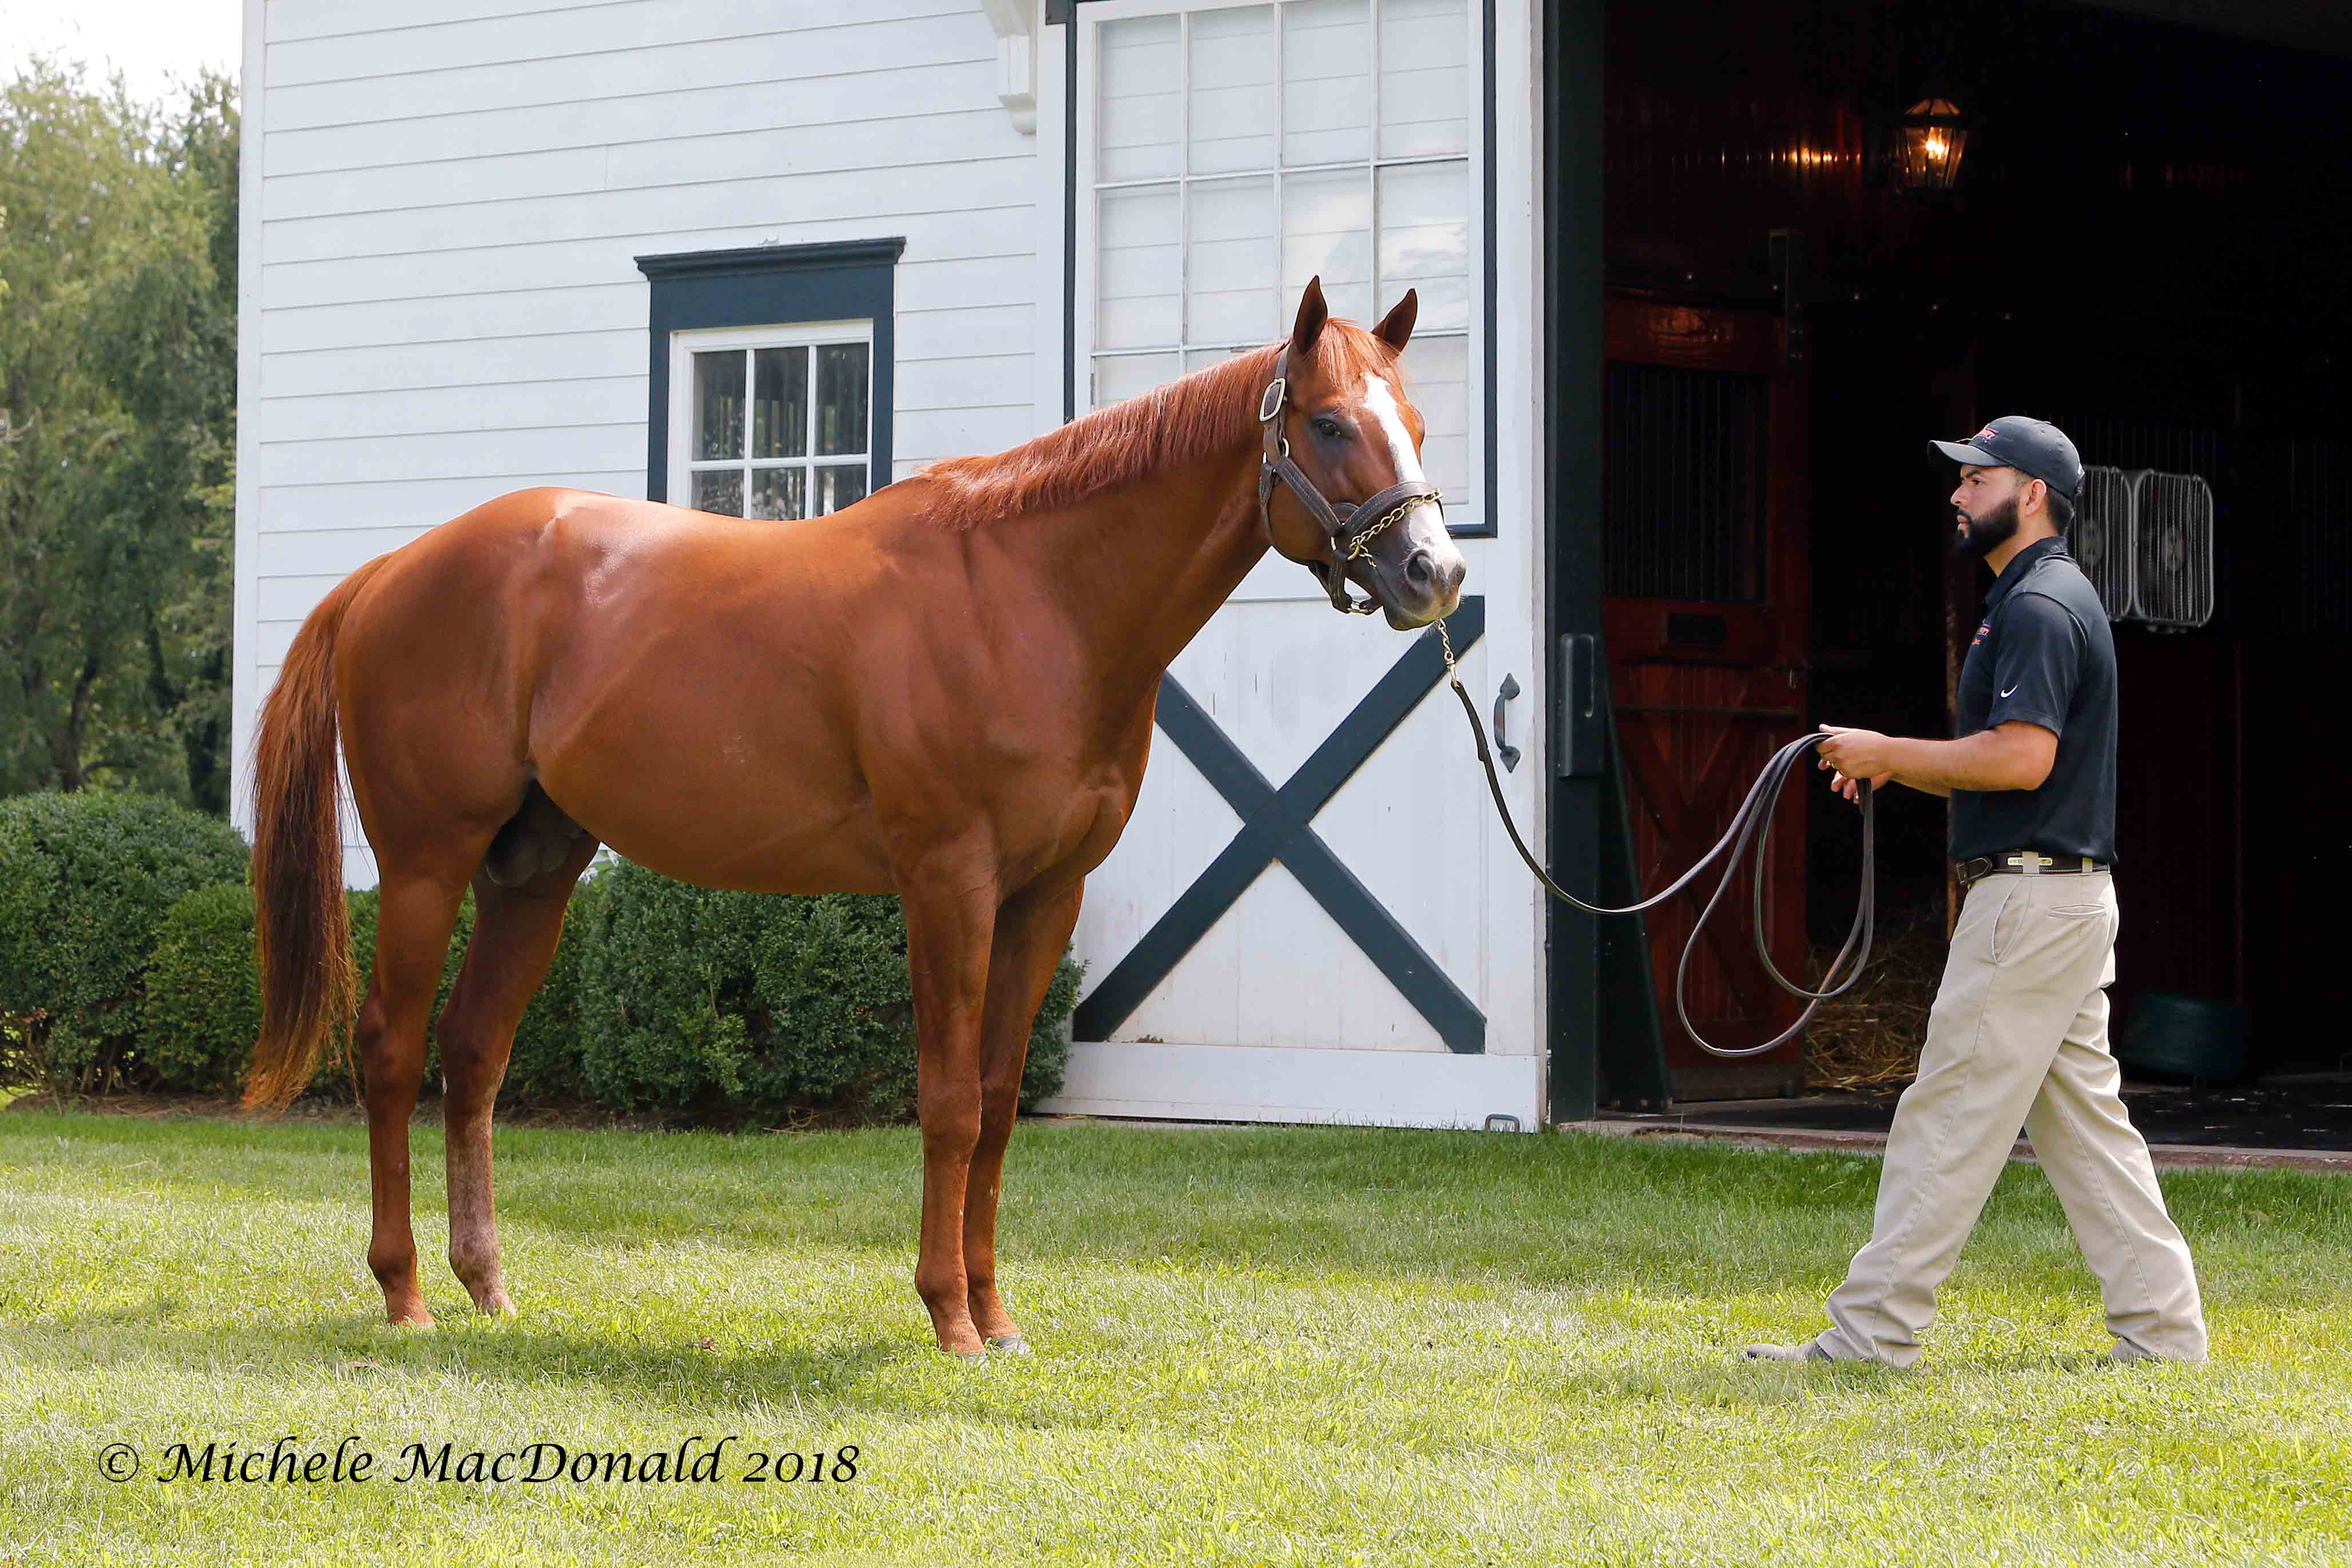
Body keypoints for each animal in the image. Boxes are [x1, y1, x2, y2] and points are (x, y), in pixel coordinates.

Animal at [239, 276, 1449, 1354]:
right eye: (1329, 423)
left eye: (1418, 422)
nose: (1433, 572)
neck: (1032, 598)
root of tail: (390, 571)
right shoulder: (947, 882)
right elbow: (950, 1102)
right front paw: (949, 1318)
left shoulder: (1046, 895)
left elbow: (999, 1100)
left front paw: (997, 1316)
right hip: (426, 866)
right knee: (392, 1050)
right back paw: (403, 1295)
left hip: (531, 872)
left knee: (475, 1051)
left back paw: (487, 1287)